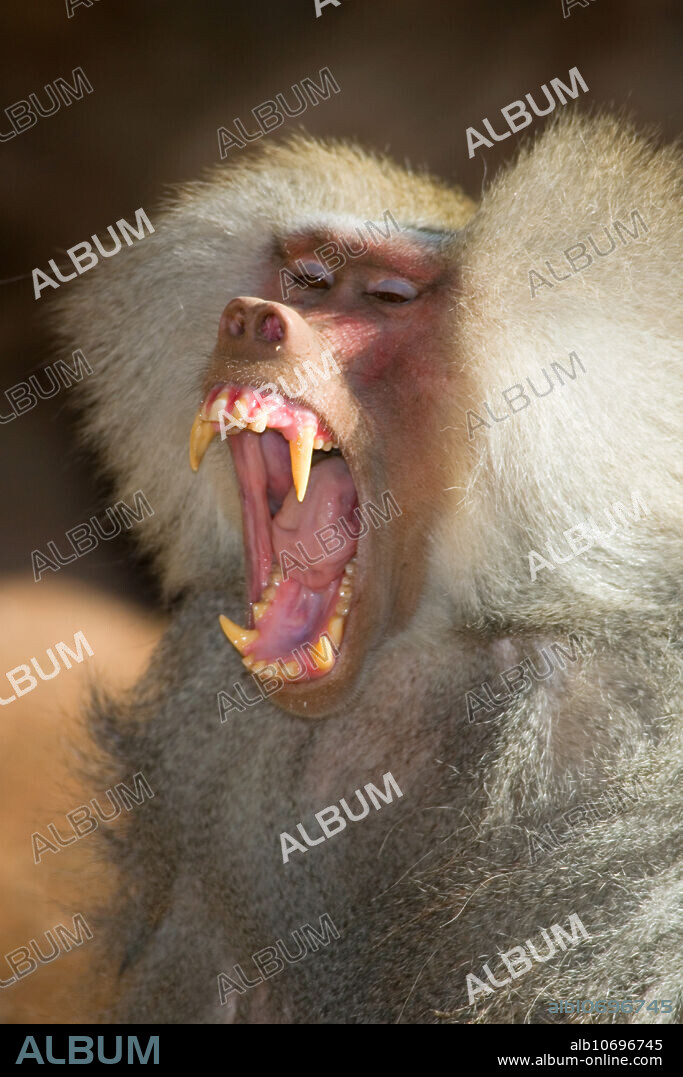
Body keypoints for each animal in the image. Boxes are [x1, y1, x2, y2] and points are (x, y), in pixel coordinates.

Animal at [56, 111, 682, 1023]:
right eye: (309, 277)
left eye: (387, 298)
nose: (251, 318)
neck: (417, 647)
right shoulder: (206, 710)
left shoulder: (612, 731)